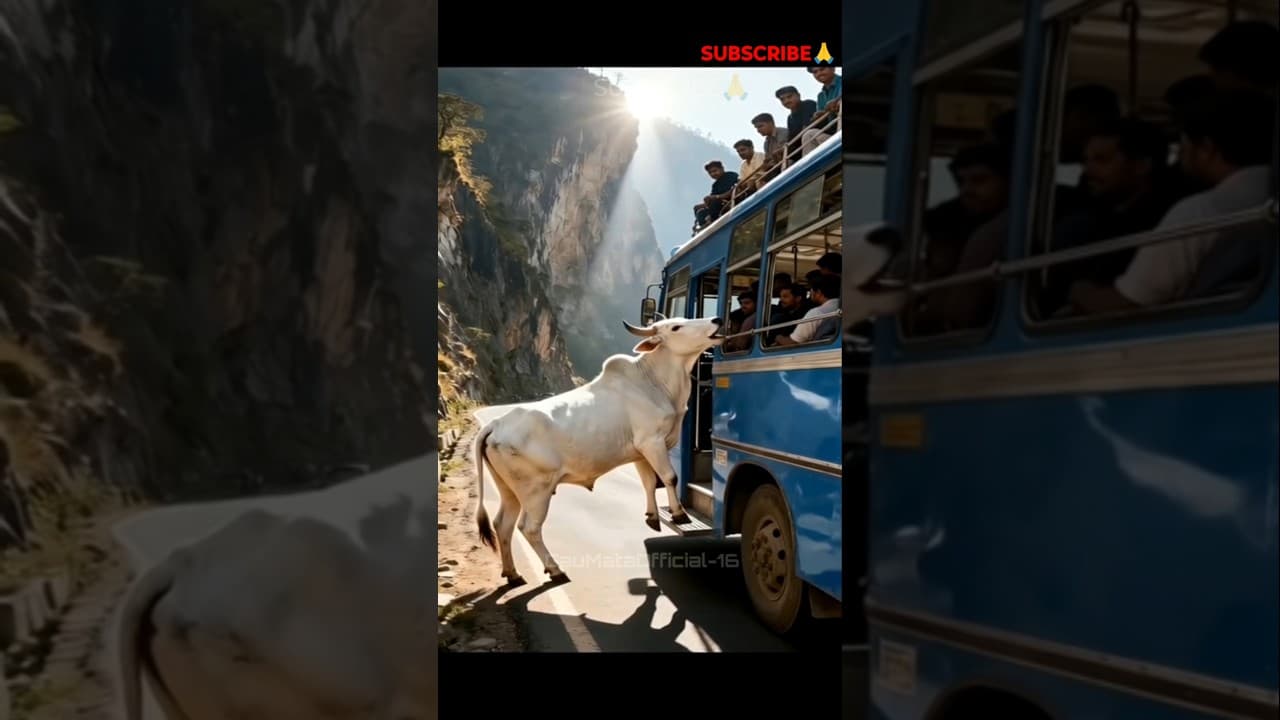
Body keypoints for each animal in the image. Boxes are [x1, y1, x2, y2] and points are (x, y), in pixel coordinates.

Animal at [473, 314, 725, 587]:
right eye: (676, 327)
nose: (717, 319)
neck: (654, 383)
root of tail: (496, 423)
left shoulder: (640, 452)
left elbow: (648, 482)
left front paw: (652, 516)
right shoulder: (652, 442)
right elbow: (669, 477)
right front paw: (679, 515)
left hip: (509, 489)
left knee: (502, 524)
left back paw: (513, 574)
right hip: (536, 491)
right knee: (528, 528)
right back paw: (555, 570)